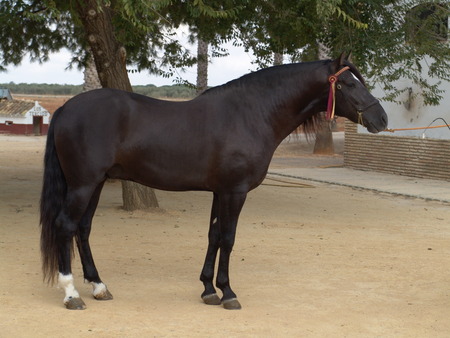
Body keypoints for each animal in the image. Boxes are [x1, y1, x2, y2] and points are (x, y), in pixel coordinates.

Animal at [40, 52, 386, 308]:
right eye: (346, 83)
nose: (381, 118)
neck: (251, 114)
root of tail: (66, 108)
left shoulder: (220, 192)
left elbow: (214, 236)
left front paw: (208, 289)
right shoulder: (235, 191)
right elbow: (229, 239)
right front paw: (228, 292)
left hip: (95, 184)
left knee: (83, 229)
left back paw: (99, 286)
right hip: (83, 184)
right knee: (66, 226)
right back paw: (72, 294)